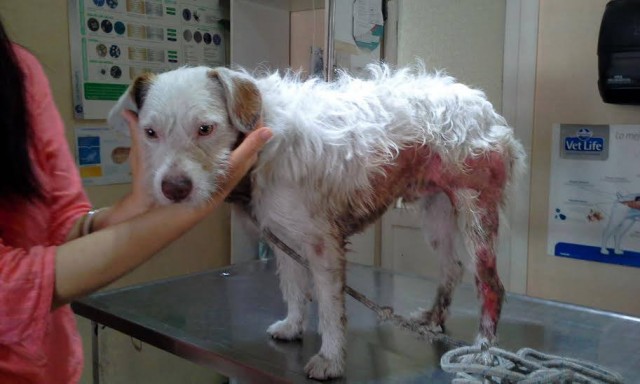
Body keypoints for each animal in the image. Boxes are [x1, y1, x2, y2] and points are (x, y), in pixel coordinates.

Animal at [109, 64, 524, 380]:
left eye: (205, 129)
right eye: (150, 133)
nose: (174, 188)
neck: (262, 144)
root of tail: (484, 106)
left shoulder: (324, 247)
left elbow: (328, 308)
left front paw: (331, 359)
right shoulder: (282, 239)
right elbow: (294, 289)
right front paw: (293, 326)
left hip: (477, 216)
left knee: (491, 286)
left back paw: (484, 349)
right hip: (437, 213)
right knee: (451, 268)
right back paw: (435, 318)